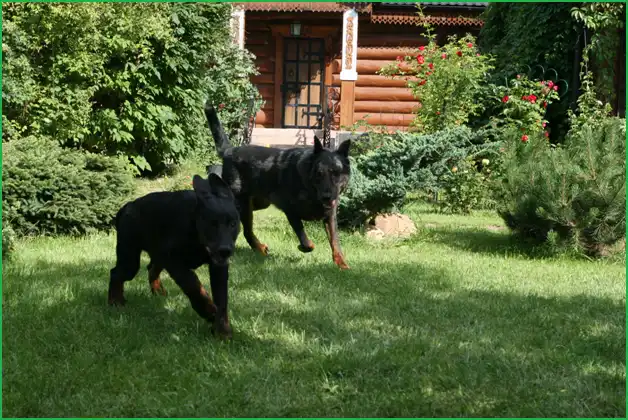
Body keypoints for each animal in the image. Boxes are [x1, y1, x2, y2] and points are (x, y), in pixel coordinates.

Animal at [107, 173, 240, 339]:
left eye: (233, 224)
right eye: (212, 224)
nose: (225, 250)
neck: (195, 231)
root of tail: (126, 207)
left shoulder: (218, 266)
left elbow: (222, 297)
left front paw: (222, 331)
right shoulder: (173, 260)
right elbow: (192, 284)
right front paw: (208, 310)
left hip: (156, 254)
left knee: (151, 268)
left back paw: (158, 291)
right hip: (131, 259)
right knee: (116, 273)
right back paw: (115, 302)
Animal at [204, 101, 351, 269]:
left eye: (336, 173)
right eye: (319, 173)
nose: (327, 196)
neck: (309, 187)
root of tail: (230, 150)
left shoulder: (330, 216)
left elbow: (335, 242)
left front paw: (342, 264)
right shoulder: (290, 211)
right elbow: (305, 239)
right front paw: (304, 247)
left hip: (260, 203)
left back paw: (260, 248)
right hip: (242, 204)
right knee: (244, 229)